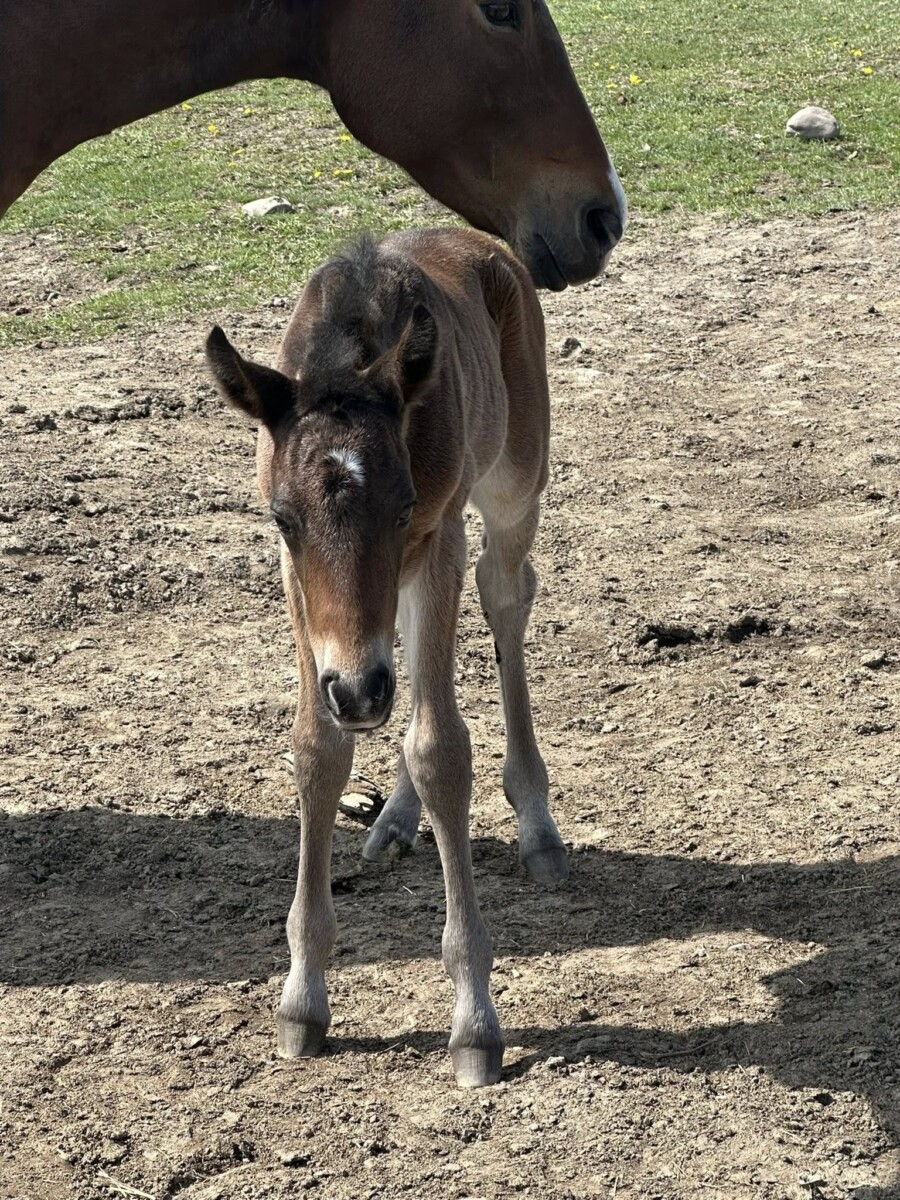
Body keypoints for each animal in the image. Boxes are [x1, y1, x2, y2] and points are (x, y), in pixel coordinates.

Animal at [206, 226, 567, 1087]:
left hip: (514, 482)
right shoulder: (303, 590)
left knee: (507, 592)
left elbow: (442, 750)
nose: (358, 692)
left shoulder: (435, 536)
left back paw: (536, 824)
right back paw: (397, 820)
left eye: (400, 506)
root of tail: (481, 243)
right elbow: (317, 748)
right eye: (283, 517)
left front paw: (475, 1022)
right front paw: (303, 998)